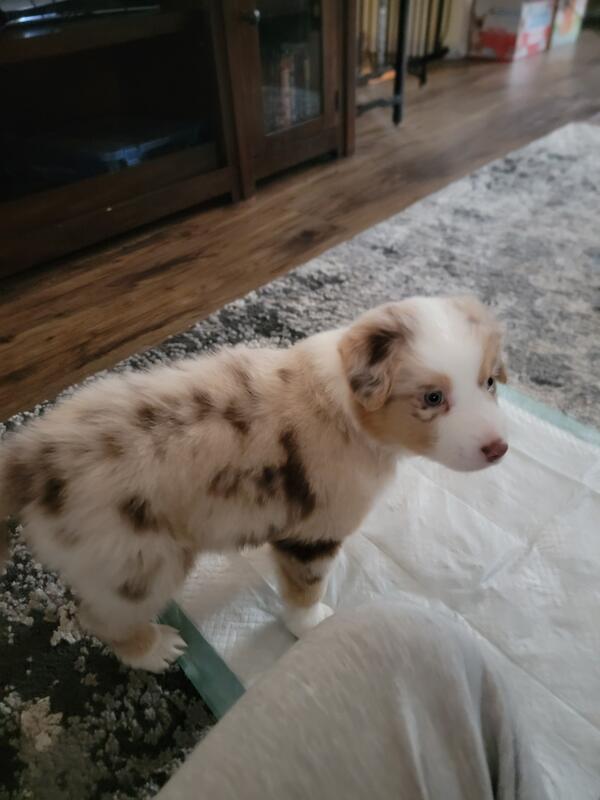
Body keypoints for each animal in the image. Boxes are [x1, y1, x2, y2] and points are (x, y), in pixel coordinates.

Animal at [0, 295, 508, 672]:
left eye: (489, 382)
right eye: (432, 398)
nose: (499, 448)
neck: (346, 405)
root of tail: (29, 460)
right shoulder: (312, 534)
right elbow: (306, 589)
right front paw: (312, 625)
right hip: (138, 563)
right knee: (98, 617)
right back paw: (155, 650)